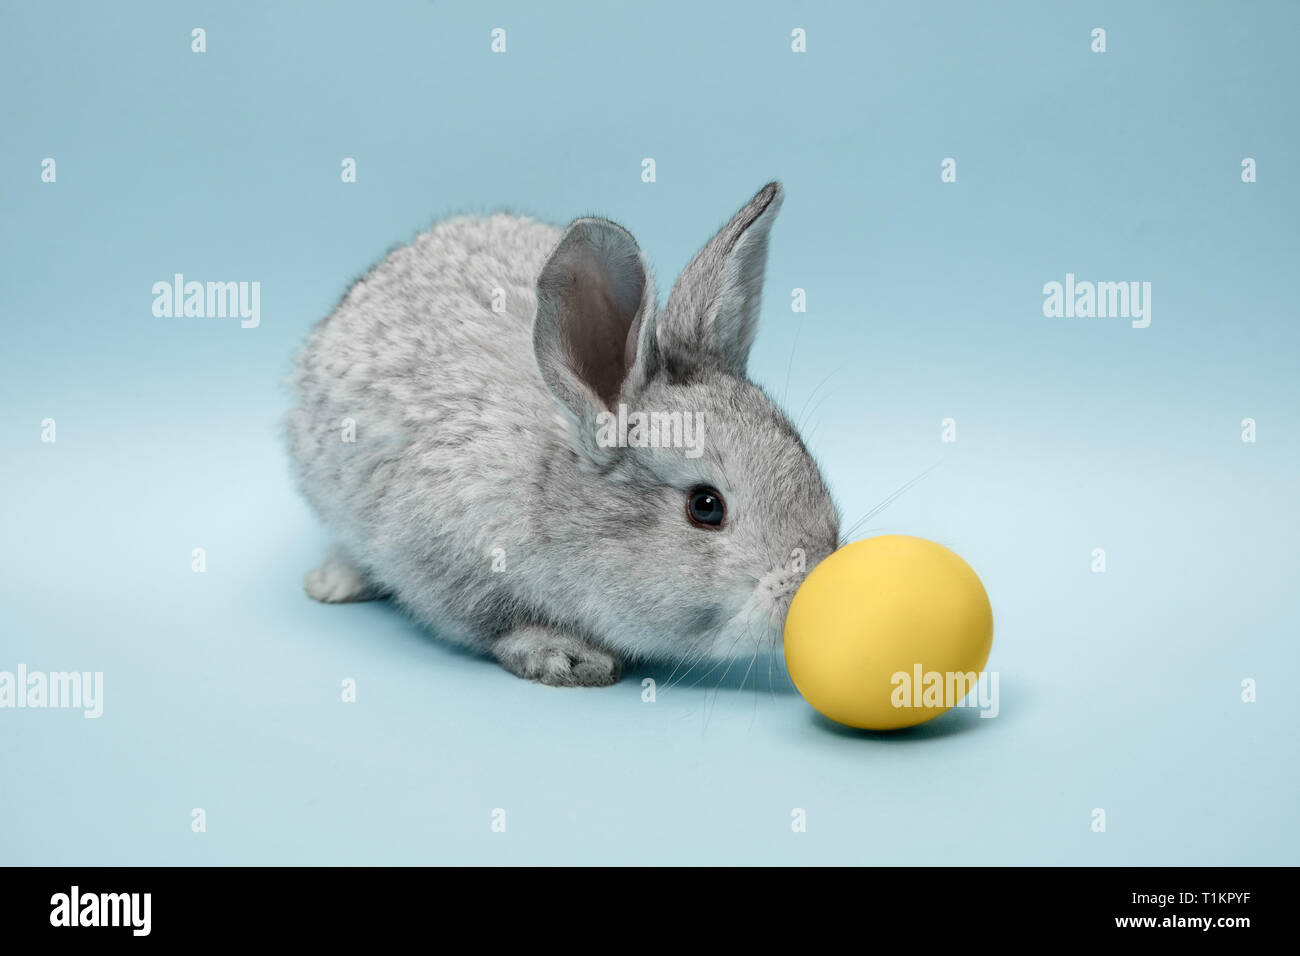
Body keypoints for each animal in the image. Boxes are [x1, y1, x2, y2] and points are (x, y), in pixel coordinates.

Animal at [285, 182, 840, 686]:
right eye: (705, 507)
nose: (808, 585)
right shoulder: (445, 563)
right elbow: (497, 625)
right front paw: (567, 658)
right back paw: (332, 583)